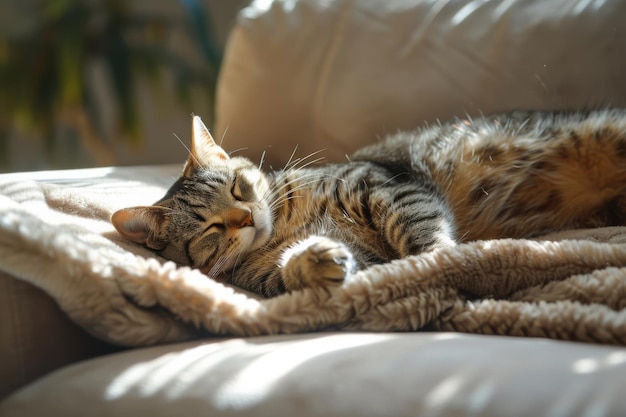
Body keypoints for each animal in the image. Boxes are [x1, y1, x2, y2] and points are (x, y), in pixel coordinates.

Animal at [109, 108, 624, 296]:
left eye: (238, 187)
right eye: (209, 229)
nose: (244, 215)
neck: (289, 222)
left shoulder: (383, 185)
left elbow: (420, 231)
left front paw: (438, 259)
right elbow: (291, 271)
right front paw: (311, 261)